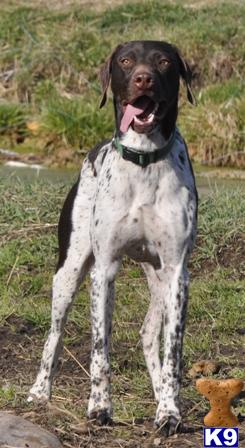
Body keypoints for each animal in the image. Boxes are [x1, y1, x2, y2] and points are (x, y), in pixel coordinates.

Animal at [28, 41, 197, 434]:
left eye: (163, 62)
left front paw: (169, 412)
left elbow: (173, 352)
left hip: (159, 280)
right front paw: (99, 408)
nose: (143, 78)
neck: (145, 159)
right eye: (125, 60)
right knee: (55, 333)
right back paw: (40, 392)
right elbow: (99, 349)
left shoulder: (177, 274)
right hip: (69, 272)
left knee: (150, 335)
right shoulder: (103, 269)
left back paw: (158, 394)